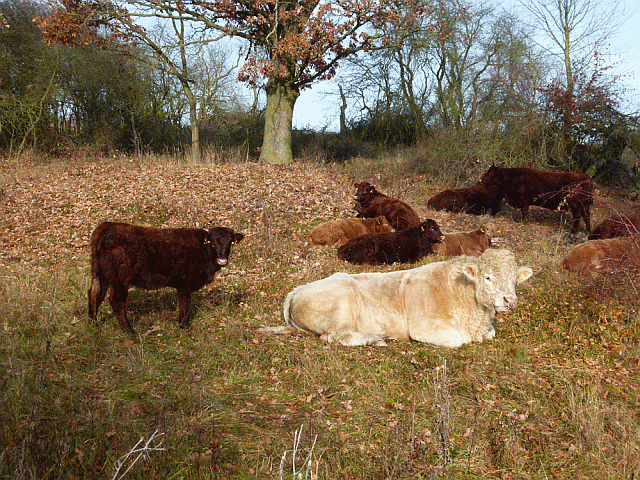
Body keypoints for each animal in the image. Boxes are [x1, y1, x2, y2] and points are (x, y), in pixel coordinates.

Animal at [91, 222, 246, 332]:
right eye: (212, 243)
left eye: (230, 242)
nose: (222, 260)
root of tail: (108, 226)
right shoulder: (184, 284)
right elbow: (184, 304)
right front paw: (184, 325)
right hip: (120, 279)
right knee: (116, 301)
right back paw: (129, 330)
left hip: (103, 276)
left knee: (95, 296)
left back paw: (95, 323)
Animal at [258, 249, 532, 346]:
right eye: (488, 277)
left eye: (515, 279)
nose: (510, 300)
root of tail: (298, 289)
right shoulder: (425, 327)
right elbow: (458, 340)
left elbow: (490, 333)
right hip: (344, 300)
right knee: (339, 336)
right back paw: (374, 338)